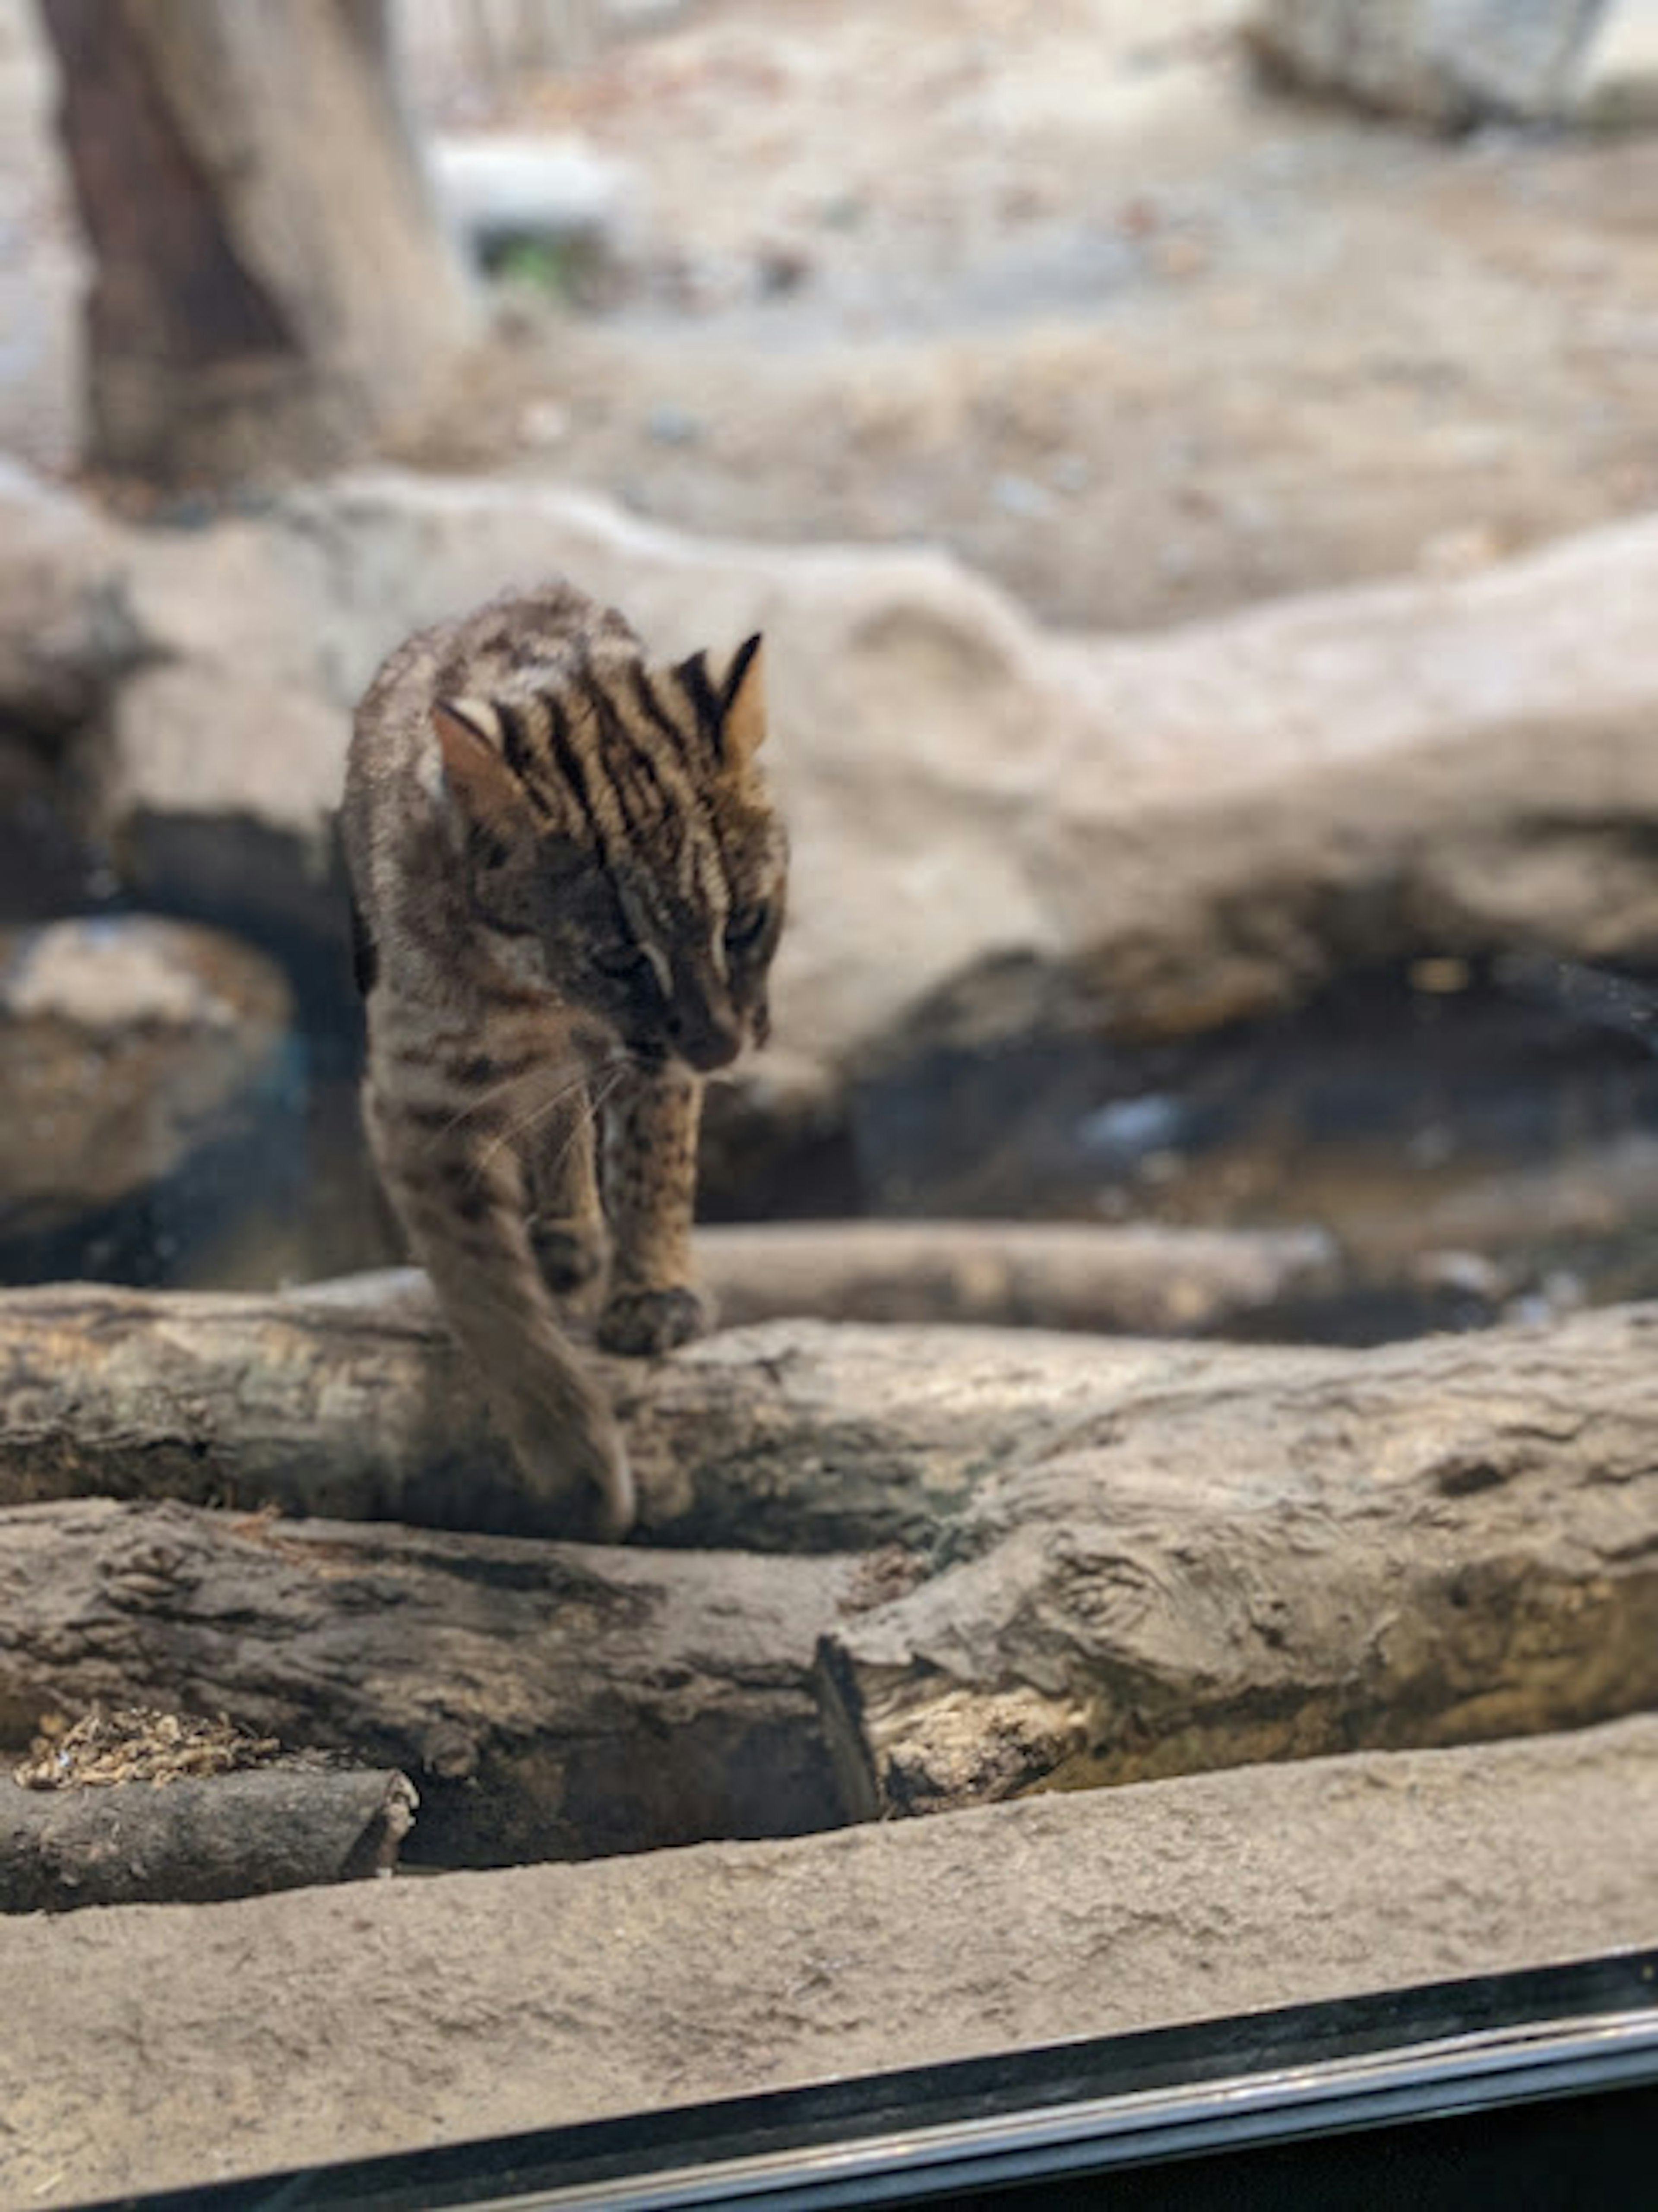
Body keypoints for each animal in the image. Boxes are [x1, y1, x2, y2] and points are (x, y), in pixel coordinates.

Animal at [340, 584, 787, 1539]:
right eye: (620, 957)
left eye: (744, 923)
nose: (723, 1048)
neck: (547, 995)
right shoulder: (418, 1098)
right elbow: (485, 1289)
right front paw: (573, 1457)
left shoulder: (652, 1058)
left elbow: (656, 1164)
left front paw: (654, 1289)